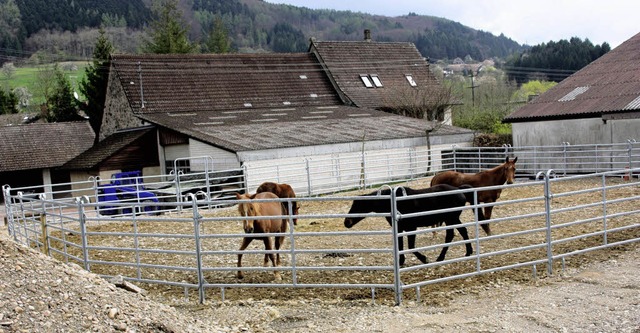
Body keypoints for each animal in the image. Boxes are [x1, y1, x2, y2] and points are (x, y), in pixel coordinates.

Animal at [344, 182, 476, 264]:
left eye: (358, 206)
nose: (346, 222)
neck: (394, 203)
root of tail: (460, 190)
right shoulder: (399, 229)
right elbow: (400, 246)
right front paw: (401, 261)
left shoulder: (411, 228)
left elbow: (411, 247)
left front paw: (424, 259)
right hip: (453, 219)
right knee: (462, 231)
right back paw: (468, 252)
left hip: (450, 219)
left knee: (450, 235)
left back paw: (440, 257)